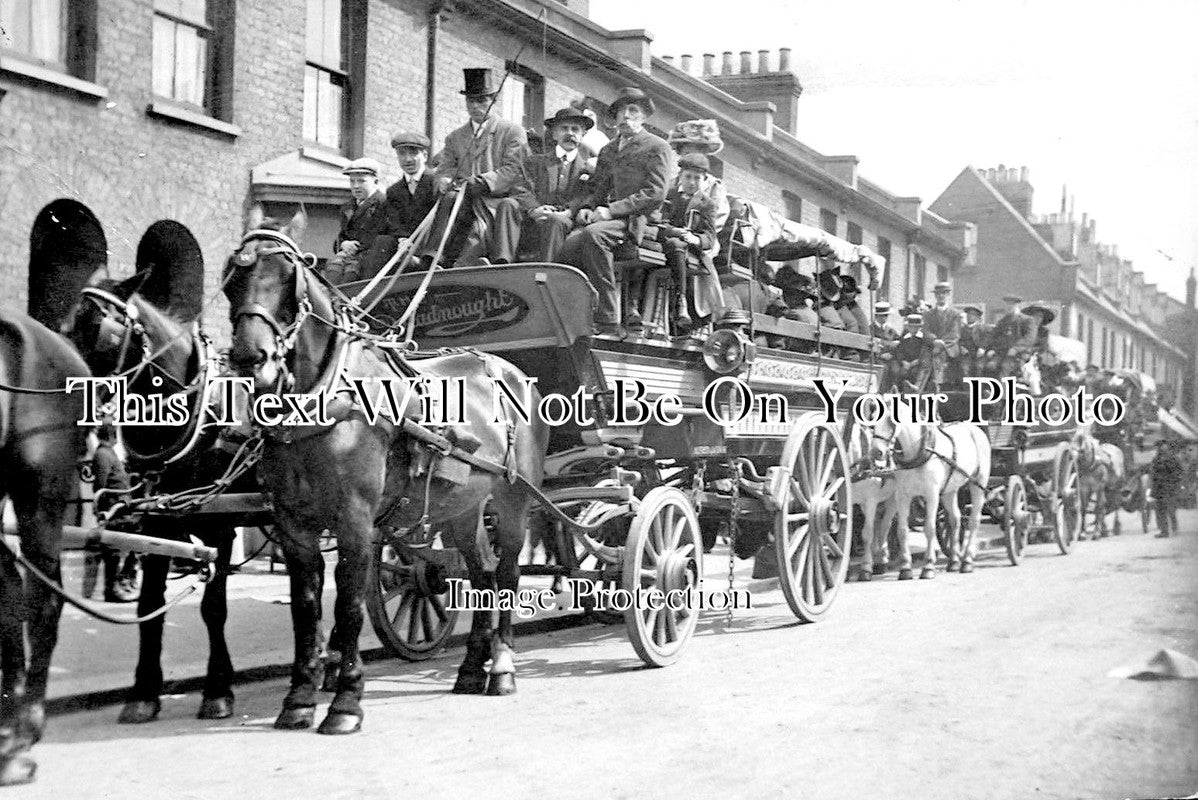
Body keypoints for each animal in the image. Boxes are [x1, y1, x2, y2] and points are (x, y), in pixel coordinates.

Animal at [63, 275, 250, 723]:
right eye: (68, 323)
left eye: (101, 330)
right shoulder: (155, 524)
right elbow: (149, 606)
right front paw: (144, 692)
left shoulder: (220, 526)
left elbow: (213, 609)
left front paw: (218, 689)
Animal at [222, 209, 548, 732]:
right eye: (233, 278)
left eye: (288, 278)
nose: (252, 358)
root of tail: (512, 371)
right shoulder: (293, 524)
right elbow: (306, 609)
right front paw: (299, 698)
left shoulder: (356, 519)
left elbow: (350, 605)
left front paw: (346, 701)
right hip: (462, 507)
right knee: (481, 575)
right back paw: (470, 668)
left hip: (514, 499)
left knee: (509, 574)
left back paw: (501, 667)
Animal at [848, 419, 896, 582]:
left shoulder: (870, 501)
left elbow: (867, 534)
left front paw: (865, 569)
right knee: (878, 524)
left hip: (893, 498)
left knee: (885, 526)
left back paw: (882, 560)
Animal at [872, 411, 991, 574]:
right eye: (871, 419)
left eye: (891, 421)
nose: (877, 452)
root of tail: (975, 429)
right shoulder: (902, 495)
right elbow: (902, 530)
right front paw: (905, 568)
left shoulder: (932, 495)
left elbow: (929, 528)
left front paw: (928, 566)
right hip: (950, 490)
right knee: (955, 519)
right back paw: (954, 561)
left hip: (978, 483)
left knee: (974, 521)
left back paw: (967, 560)